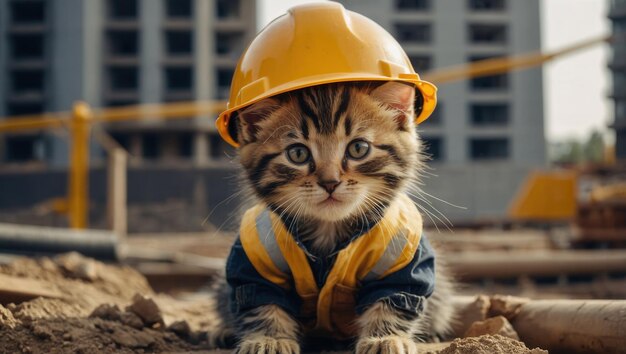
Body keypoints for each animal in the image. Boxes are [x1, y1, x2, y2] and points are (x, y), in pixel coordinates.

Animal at [216, 81, 454, 354]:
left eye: (358, 148)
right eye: (297, 154)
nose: (330, 182)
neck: (329, 229)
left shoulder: (402, 258)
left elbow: (396, 296)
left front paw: (384, 338)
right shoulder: (255, 259)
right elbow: (259, 298)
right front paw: (269, 339)